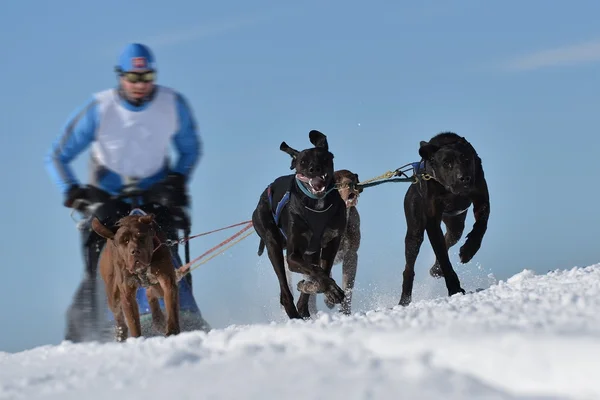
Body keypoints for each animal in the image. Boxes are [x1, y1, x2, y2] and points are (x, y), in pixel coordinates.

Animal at [89, 212, 186, 340]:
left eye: (141, 237)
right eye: (124, 241)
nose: (135, 251)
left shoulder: (167, 281)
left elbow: (171, 307)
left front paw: (172, 331)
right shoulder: (127, 294)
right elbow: (133, 321)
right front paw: (137, 339)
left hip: (157, 285)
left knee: (151, 292)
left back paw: (158, 320)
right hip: (112, 294)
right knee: (117, 313)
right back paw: (121, 332)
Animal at [252, 130, 346, 320]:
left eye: (323, 157)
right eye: (302, 161)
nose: (314, 169)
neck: (317, 205)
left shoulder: (332, 242)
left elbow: (321, 271)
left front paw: (317, 288)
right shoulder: (293, 256)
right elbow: (318, 272)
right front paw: (331, 290)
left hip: (311, 252)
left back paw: (303, 308)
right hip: (272, 242)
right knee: (285, 289)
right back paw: (294, 314)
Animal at [398, 132, 488, 306]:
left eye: (466, 159)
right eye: (446, 163)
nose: (464, 178)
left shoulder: (481, 199)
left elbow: (481, 226)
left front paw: (469, 250)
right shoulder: (432, 221)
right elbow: (442, 255)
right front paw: (454, 288)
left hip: (455, 223)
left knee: (450, 238)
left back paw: (436, 269)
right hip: (415, 228)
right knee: (409, 268)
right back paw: (404, 300)